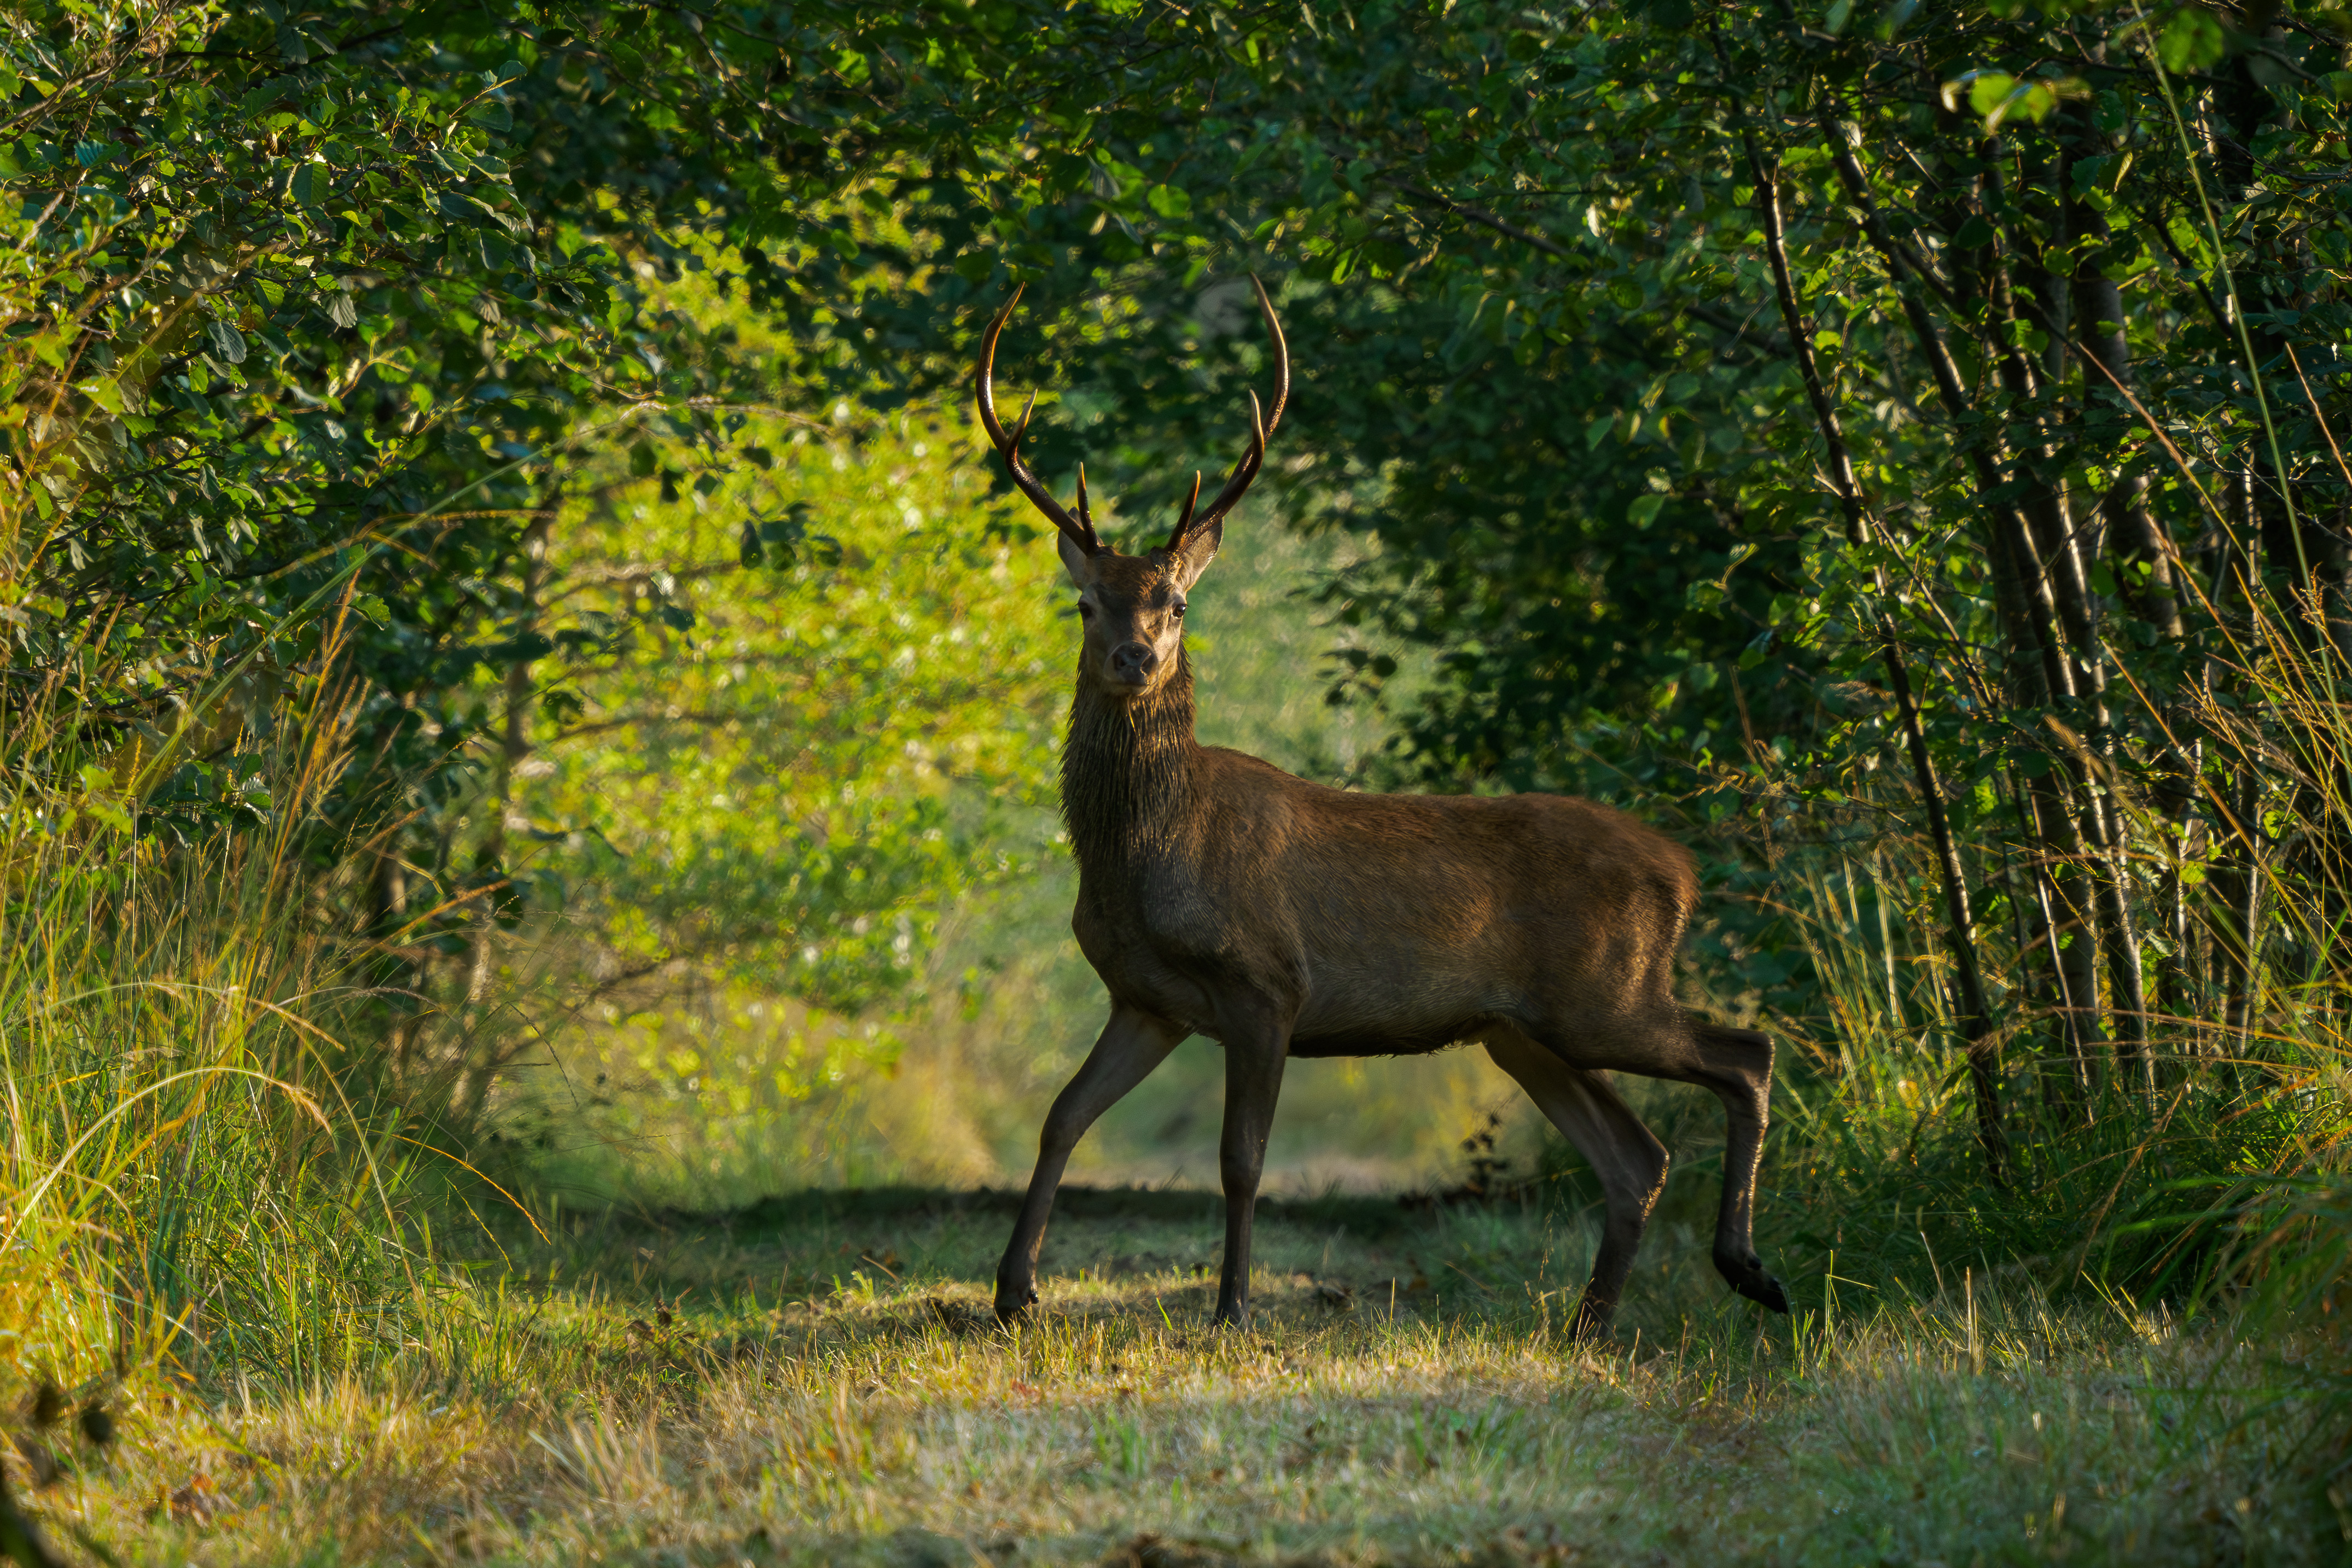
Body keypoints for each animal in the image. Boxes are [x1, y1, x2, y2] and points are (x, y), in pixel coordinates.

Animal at [964, 278, 1788, 1335]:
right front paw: (1012, 1291)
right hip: (1525, 1028)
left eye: (1176, 605)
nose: (1135, 657)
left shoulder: (1267, 981)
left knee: (1745, 1052)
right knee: (1637, 1154)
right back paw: (1592, 1323)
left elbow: (1241, 1159)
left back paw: (1745, 1267)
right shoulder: (1147, 997)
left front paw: (1232, 1307)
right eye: (1085, 603)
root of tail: (1681, 869)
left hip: (1605, 993)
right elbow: (1063, 1113)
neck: (1143, 857)